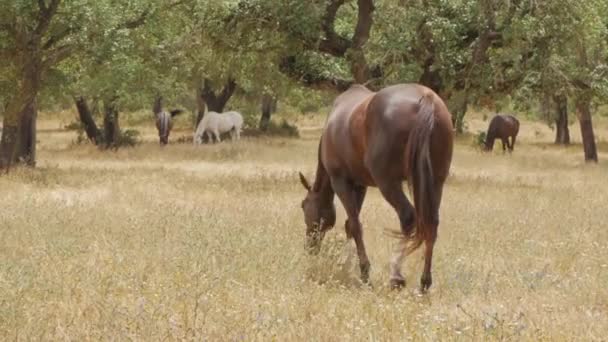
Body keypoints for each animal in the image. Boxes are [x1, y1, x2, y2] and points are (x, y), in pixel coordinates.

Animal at [296, 83, 454, 292]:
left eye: (303, 206)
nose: (310, 247)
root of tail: (427, 98)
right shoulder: (360, 185)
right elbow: (349, 225)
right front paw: (347, 263)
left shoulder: (341, 182)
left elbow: (355, 226)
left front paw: (363, 272)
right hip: (435, 182)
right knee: (431, 224)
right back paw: (424, 283)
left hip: (388, 183)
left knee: (408, 217)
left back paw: (396, 276)